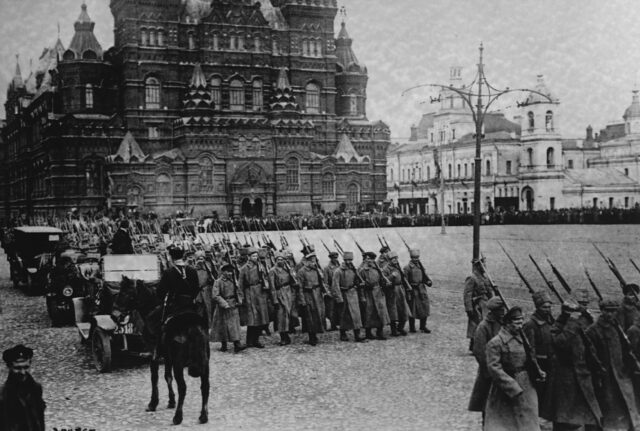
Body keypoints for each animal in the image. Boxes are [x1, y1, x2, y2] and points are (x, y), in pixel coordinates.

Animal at [115, 276, 210, 426]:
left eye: (125, 292)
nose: (115, 313)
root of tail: (193, 325)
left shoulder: (154, 354)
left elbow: (155, 378)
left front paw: (153, 403)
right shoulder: (167, 357)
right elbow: (167, 376)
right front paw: (171, 401)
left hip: (179, 364)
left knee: (183, 387)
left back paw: (178, 417)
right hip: (205, 363)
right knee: (205, 387)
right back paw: (203, 416)